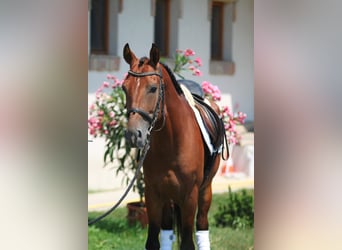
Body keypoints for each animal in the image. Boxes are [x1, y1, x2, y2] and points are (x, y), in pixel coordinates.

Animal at [121, 44, 226, 249]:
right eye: (124, 88)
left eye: (153, 88)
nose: (133, 134)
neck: (170, 142)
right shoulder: (153, 194)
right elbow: (153, 241)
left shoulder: (189, 196)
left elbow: (187, 242)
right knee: (168, 228)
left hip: (205, 189)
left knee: (202, 224)